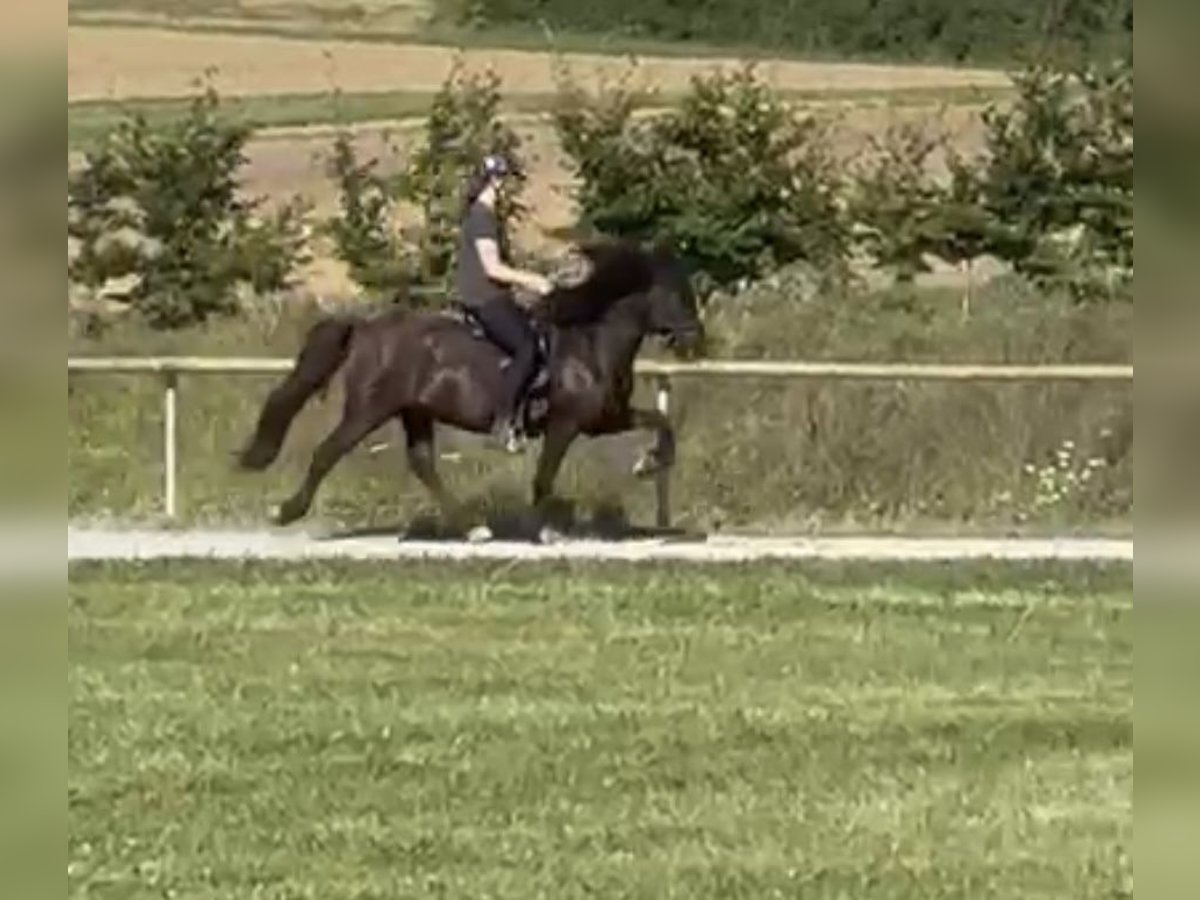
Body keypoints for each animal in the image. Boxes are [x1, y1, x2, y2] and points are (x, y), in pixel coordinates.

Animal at [232, 240, 700, 542]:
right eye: (677, 295)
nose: (696, 340)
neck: (589, 343)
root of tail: (365, 328)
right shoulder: (566, 424)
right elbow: (545, 475)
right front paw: (545, 530)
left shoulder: (605, 418)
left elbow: (662, 423)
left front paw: (649, 462)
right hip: (368, 409)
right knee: (328, 452)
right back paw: (285, 511)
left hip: (414, 412)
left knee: (422, 463)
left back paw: (473, 528)